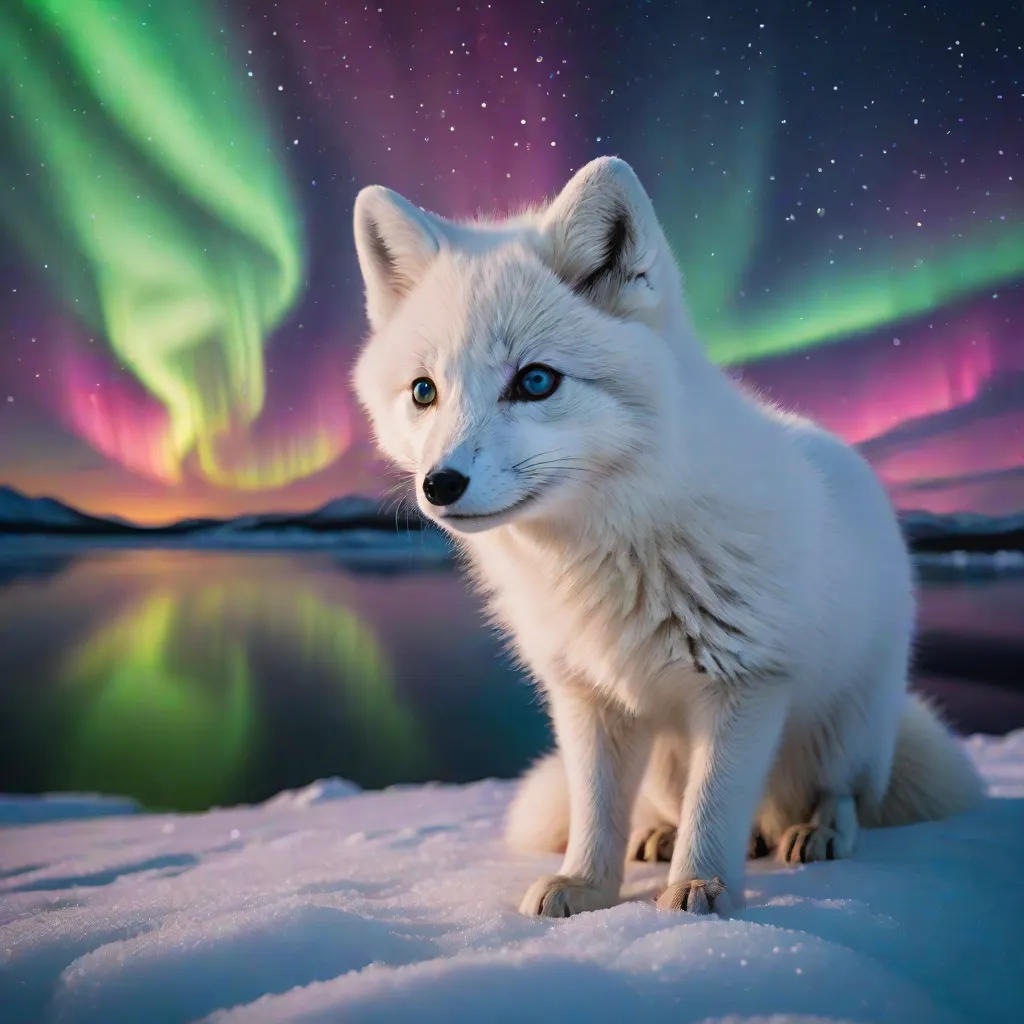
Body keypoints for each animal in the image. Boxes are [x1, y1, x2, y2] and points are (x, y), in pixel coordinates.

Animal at [350, 156, 984, 917]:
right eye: (424, 391)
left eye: (535, 381)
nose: (440, 484)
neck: (605, 554)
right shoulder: (587, 696)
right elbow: (597, 810)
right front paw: (587, 886)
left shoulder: (748, 682)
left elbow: (714, 806)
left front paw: (700, 890)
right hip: (661, 755)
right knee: (666, 805)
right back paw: (656, 834)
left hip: (849, 725)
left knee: (844, 793)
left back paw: (818, 829)